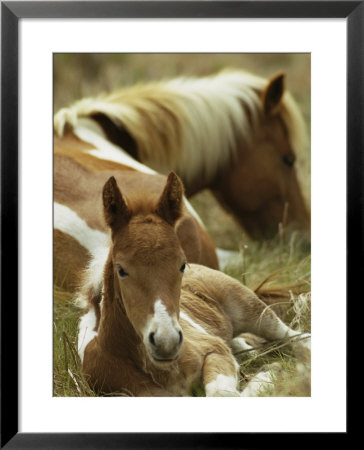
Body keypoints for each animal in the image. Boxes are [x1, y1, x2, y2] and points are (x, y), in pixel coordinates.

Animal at [77, 171, 310, 394]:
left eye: (181, 264)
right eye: (121, 270)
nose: (167, 342)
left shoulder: (215, 350)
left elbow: (222, 394)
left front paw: (267, 375)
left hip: (251, 308)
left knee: (294, 336)